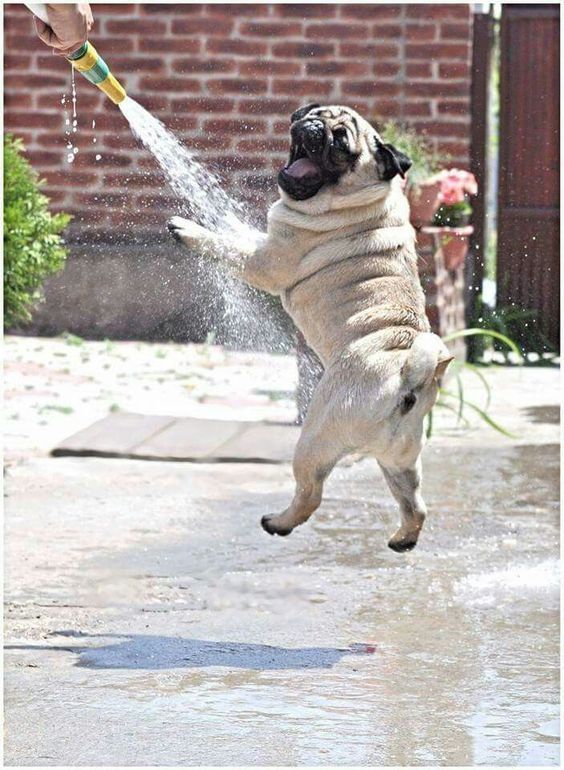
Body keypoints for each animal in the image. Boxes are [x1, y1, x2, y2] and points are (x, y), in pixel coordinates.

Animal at [169, 103, 454, 552]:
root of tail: (409, 380)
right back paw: (403, 540)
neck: (360, 200)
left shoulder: (264, 263)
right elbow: (240, 231)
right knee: (416, 505)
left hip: (315, 439)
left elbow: (228, 246)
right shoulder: (265, 244)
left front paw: (189, 228)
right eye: (315, 115)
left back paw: (278, 522)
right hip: (401, 460)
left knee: (311, 494)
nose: (313, 127)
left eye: (340, 143)